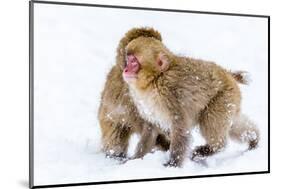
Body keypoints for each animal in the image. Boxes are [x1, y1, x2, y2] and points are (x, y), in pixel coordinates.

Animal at [122, 27, 258, 167]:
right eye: (128, 60)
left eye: (134, 62)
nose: (125, 70)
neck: (155, 80)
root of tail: (227, 74)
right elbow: (151, 129)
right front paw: (135, 159)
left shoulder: (171, 96)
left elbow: (180, 129)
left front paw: (172, 164)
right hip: (231, 101)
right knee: (233, 125)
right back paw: (253, 138)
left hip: (222, 98)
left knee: (211, 121)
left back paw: (212, 148)